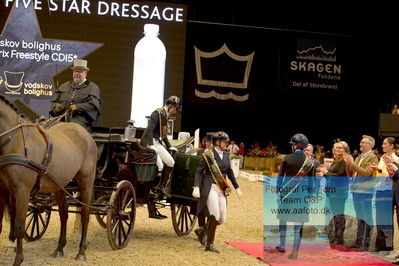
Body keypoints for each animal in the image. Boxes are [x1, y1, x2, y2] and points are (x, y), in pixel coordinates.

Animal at [0, 96, 97, 266]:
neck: (15, 141)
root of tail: (86, 134)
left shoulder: (22, 191)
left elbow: (19, 225)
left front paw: (18, 259)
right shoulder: (2, 190)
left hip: (86, 182)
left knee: (85, 213)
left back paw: (81, 251)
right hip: (59, 186)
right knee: (64, 214)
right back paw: (59, 248)